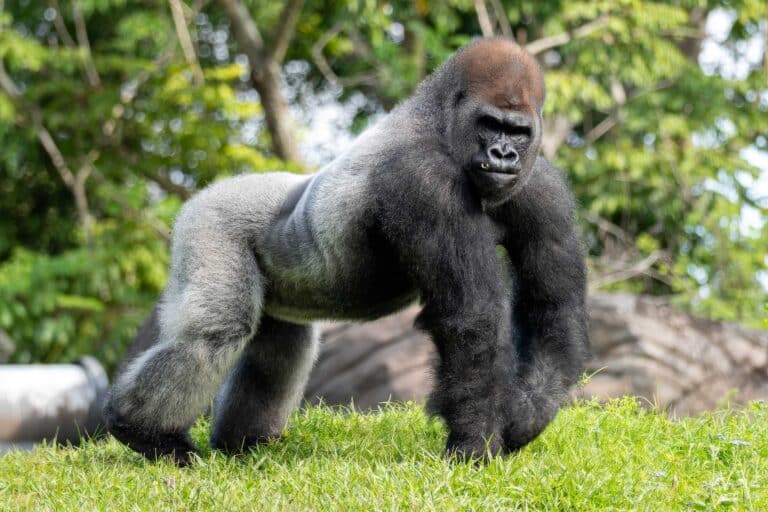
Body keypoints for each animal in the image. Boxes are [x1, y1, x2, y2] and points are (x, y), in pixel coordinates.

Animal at [103, 37, 589, 464]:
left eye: (518, 131)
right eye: (489, 124)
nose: (504, 154)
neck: (437, 121)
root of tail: (209, 191)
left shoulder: (542, 186)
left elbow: (552, 305)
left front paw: (525, 415)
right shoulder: (423, 180)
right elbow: (473, 320)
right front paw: (474, 444)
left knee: (281, 346)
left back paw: (244, 444)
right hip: (210, 220)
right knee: (214, 333)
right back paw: (143, 431)